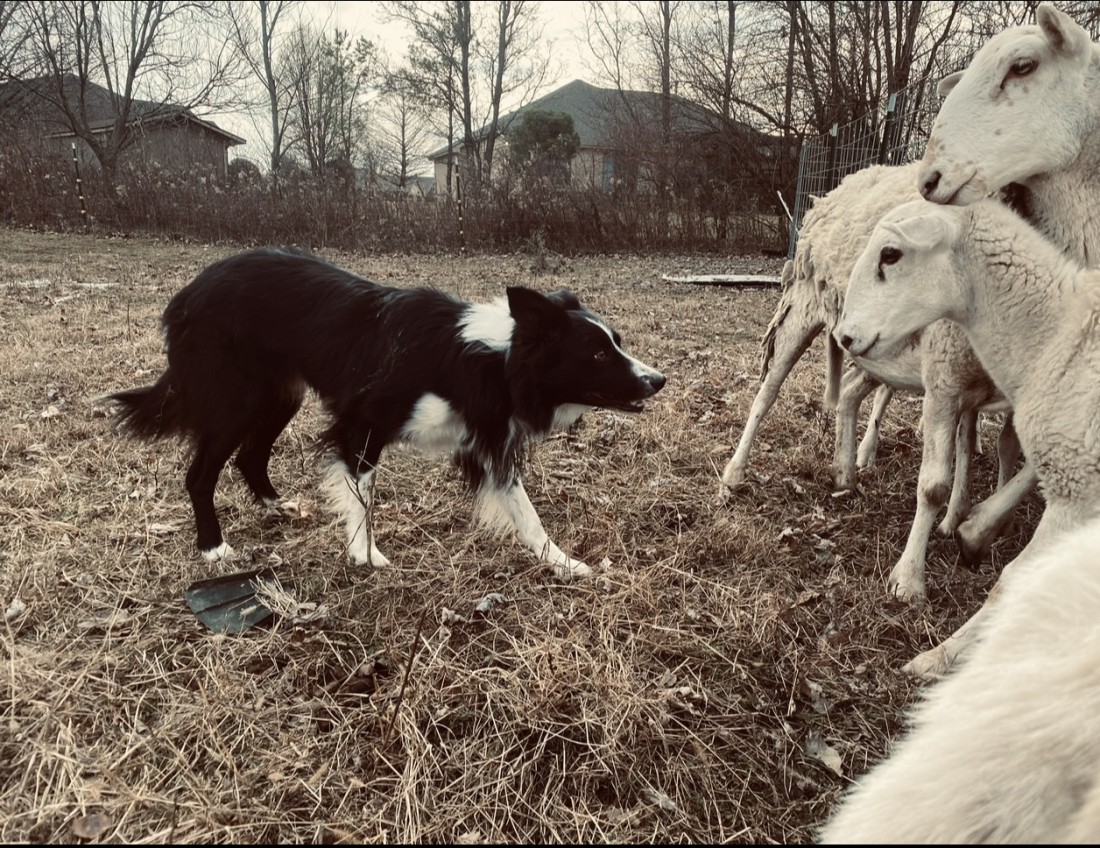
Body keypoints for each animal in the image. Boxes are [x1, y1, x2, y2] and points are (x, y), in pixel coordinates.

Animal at [111, 241, 664, 580]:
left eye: (617, 343)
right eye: (597, 354)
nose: (659, 380)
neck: (493, 358)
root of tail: (188, 292)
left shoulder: (487, 439)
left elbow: (526, 514)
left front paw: (565, 563)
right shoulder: (361, 423)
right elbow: (362, 495)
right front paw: (365, 554)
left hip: (279, 396)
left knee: (251, 456)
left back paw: (277, 505)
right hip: (236, 399)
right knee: (201, 472)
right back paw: (213, 547)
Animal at [827, 196, 1100, 840]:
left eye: (891, 254)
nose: (844, 335)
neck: (1055, 333)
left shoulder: (1077, 493)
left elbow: (1016, 583)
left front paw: (940, 657)